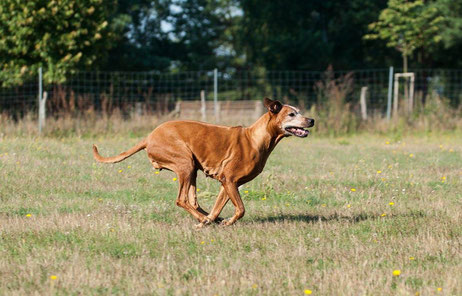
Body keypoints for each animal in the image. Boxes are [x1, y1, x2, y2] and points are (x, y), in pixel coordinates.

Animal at [93, 98, 314, 228]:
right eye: (291, 114)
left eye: (299, 111)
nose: (311, 120)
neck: (255, 138)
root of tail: (148, 137)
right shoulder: (229, 180)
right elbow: (241, 209)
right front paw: (225, 222)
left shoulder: (228, 183)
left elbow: (219, 206)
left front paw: (215, 218)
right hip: (185, 163)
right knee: (181, 200)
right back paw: (202, 219)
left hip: (191, 169)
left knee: (193, 201)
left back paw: (206, 218)